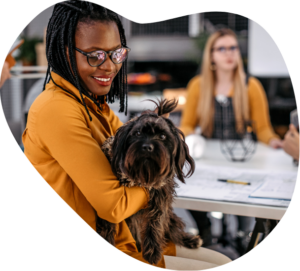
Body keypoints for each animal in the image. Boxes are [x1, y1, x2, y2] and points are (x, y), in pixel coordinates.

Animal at [97, 98, 203, 266]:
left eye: (163, 136)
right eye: (138, 133)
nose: (147, 147)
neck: (142, 175)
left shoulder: (160, 197)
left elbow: (156, 223)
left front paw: (152, 252)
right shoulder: (108, 202)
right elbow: (108, 223)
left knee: (172, 228)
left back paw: (190, 239)